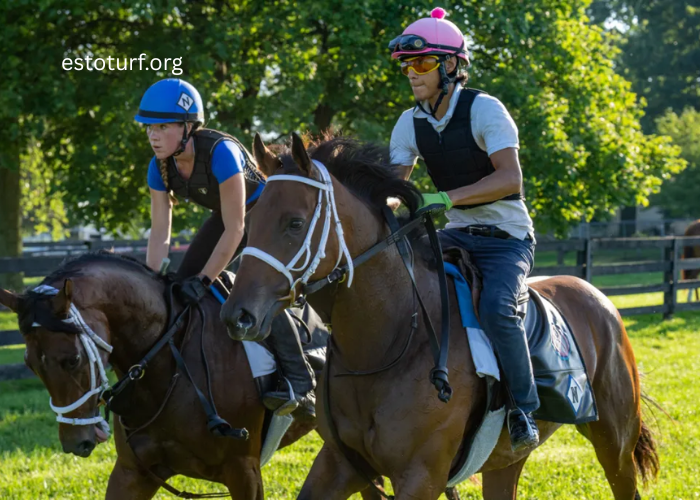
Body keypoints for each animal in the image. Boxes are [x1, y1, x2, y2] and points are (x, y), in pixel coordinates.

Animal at [0, 252, 334, 500]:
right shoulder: (132, 472)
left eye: (73, 360)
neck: (168, 372)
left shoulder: (245, 471)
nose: (75, 442)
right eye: (30, 364)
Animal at [222, 132, 659, 500]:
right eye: (249, 223)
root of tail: (598, 297)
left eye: (294, 223)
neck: (390, 340)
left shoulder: (421, 476)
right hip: (506, 461)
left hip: (614, 441)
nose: (238, 315)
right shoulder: (340, 465)